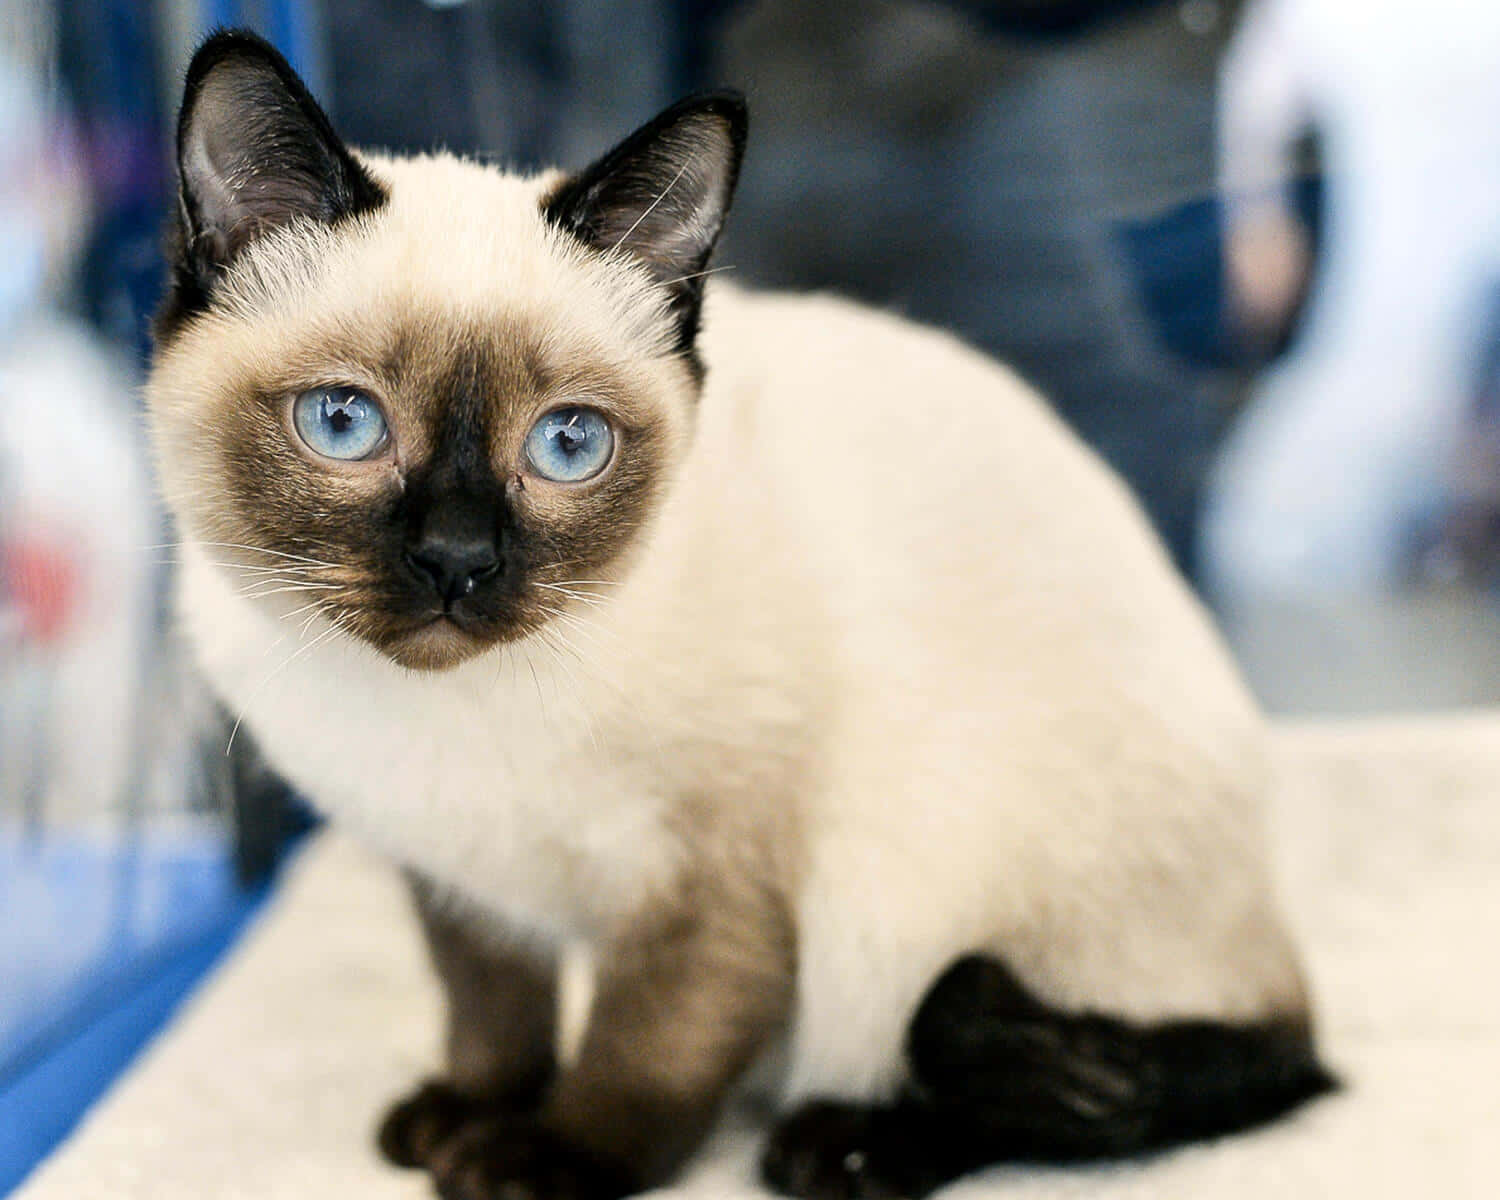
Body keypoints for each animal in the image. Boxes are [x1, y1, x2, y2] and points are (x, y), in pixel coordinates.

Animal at [146, 28, 1332, 1200]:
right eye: (344, 423)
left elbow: (643, 1051)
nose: (457, 562)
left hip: (909, 890)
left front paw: (540, 1157)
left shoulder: (710, 890)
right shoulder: (459, 880)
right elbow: (492, 1011)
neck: (441, 721)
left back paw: (845, 1147)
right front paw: (468, 1113)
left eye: (567, 445)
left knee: (1126, 1079)